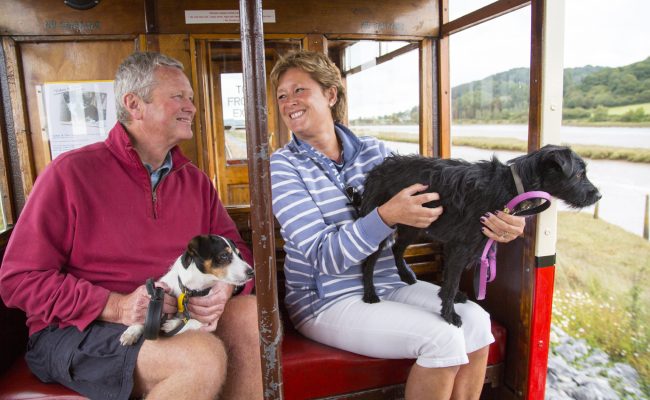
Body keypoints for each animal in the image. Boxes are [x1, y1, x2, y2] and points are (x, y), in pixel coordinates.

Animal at [119, 234, 253, 344]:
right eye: (224, 255)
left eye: (239, 255)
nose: (252, 272)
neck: (190, 289)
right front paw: (132, 331)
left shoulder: (207, 318)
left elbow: (191, 322)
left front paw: (173, 324)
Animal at [356, 145, 600, 326]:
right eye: (580, 174)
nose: (598, 195)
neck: (512, 185)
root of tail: (377, 171)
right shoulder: (461, 245)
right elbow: (452, 280)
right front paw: (449, 313)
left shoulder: (464, 244)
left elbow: (450, 278)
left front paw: (451, 298)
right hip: (384, 221)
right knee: (369, 261)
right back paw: (370, 293)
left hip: (413, 224)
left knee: (397, 248)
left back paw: (405, 275)